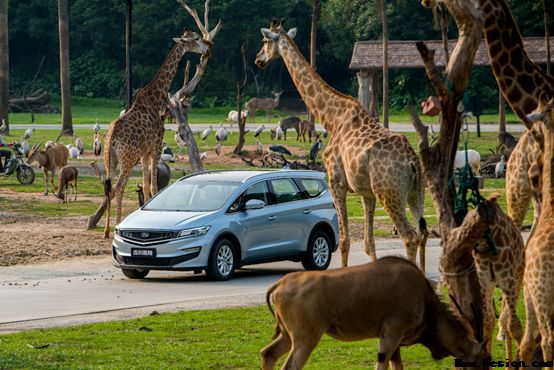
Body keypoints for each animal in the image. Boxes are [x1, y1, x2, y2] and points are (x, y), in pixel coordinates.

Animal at [100, 28, 210, 237]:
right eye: (196, 38)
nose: (208, 47)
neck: (156, 96)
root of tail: (112, 140)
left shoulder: (144, 153)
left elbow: (147, 187)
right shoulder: (156, 146)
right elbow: (153, 187)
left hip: (110, 159)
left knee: (108, 188)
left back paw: (106, 231)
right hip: (128, 159)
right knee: (119, 186)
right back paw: (117, 225)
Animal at [254, 20, 426, 268]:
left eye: (266, 41)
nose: (258, 59)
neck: (331, 117)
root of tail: (412, 161)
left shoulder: (336, 179)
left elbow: (344, 242)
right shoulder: (366, 192)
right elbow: (368, 243)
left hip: (389, 192)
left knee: (410, 237)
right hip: (415, 192)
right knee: (423, 234)